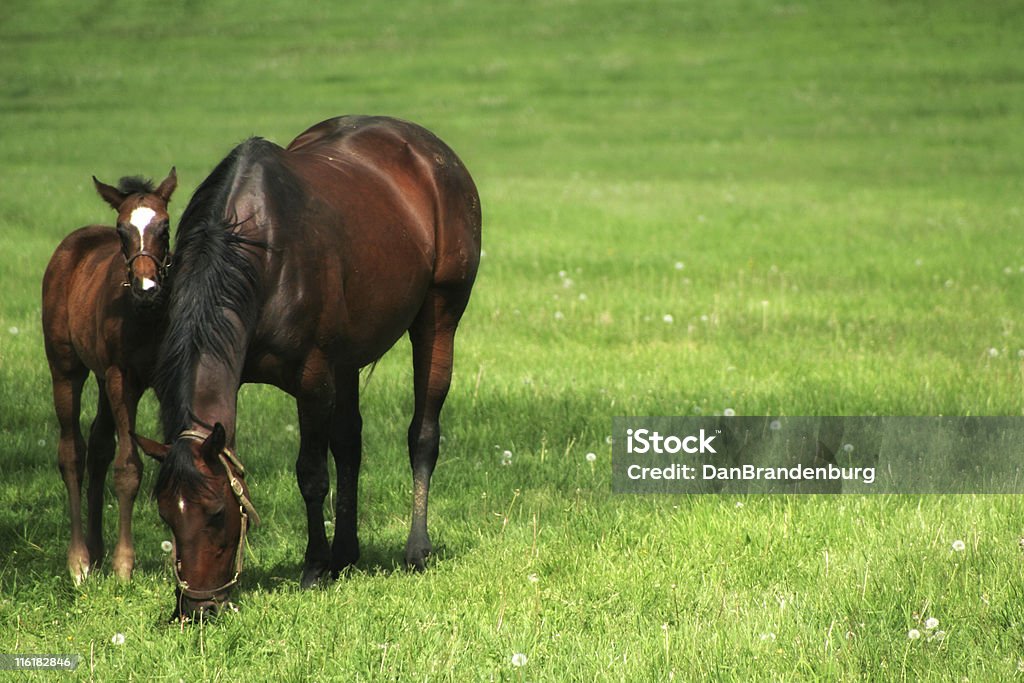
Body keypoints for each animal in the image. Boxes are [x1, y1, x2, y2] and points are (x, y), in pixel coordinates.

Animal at [43, 167, 178, 585]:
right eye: (122, 230)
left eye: (165, 226)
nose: (147, 288)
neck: (146, 316)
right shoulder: (123, 378)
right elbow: (128, 467)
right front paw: (123, 565)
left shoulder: (167, 381)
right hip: (66, 368)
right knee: (72, 451)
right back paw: (80, 561)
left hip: (103, 380)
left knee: (99, 446)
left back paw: (96, 550)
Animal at [134, 114, 481, 618]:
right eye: (165, 512)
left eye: (216, 513)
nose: (195, 609)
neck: (258, 249)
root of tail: (431, 151)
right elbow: (337, 453)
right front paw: (330, 560)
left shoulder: (314, 379)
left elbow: (312, 474)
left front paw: (315, 567)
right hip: (349, 358)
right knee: (351, 443)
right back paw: (347, 553)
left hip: (439, 318)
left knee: (423, 434)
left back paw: (416, 549)